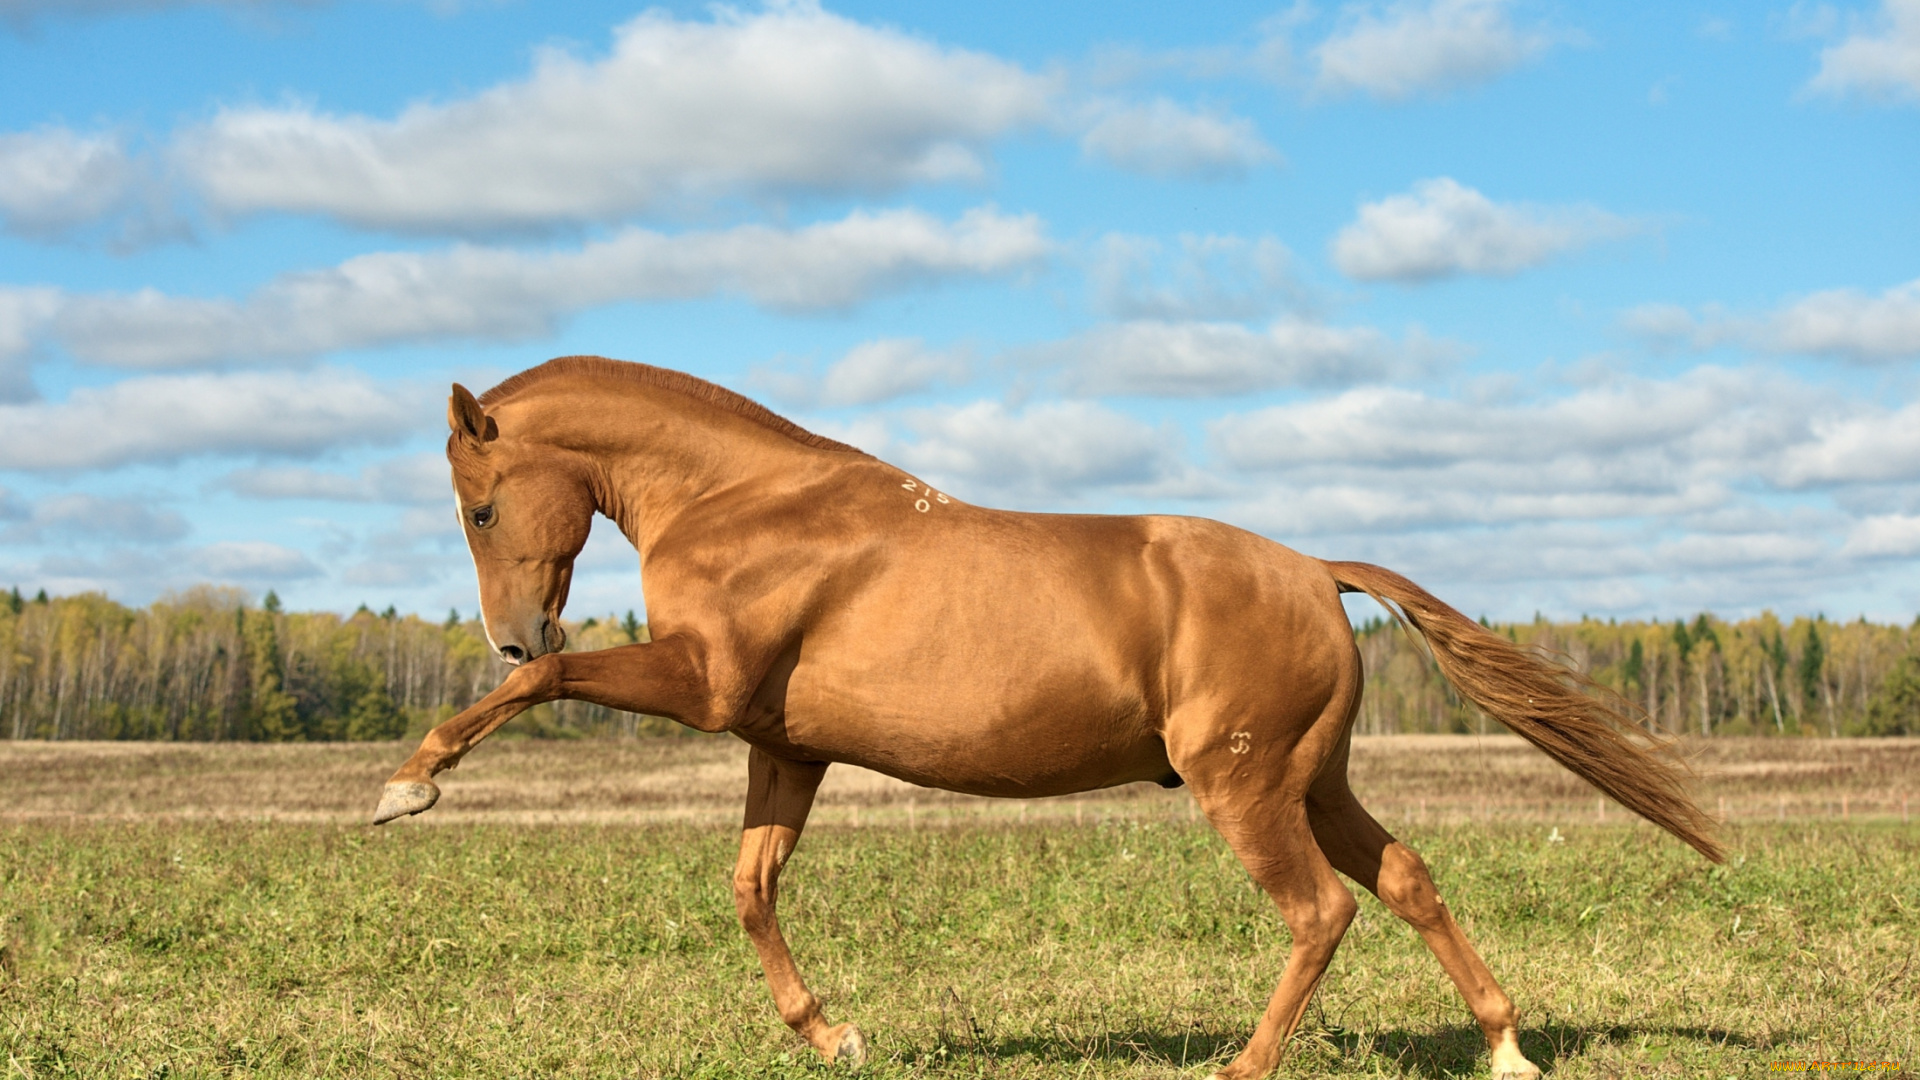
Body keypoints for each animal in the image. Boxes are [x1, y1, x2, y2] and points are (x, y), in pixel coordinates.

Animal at [374, 355, 1728, 1076]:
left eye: (481, 507)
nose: (515, 628)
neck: (748, 505)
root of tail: (1315, 571)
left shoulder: (702, 686)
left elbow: (540, 697)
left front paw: (408, 783)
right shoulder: (779, 745)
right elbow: (753, 889)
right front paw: (834, 1033)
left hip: (1245, 787)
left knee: (1321, 911)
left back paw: (1247, 1063)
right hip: (1316, 780)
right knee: (1405, 881)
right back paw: (1505, 1045)